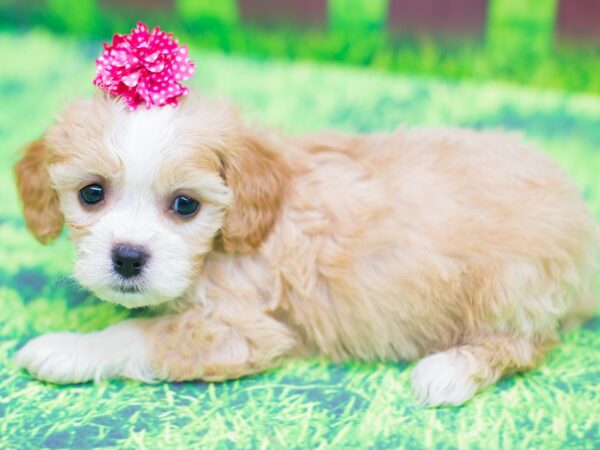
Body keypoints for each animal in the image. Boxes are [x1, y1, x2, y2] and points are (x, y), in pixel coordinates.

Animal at [11, 92, 596, 408]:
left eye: (185, 205)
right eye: (91, 194)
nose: (128, 257)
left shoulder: (244, 329)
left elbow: (141, 333)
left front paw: (65, 348)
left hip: (510, 288)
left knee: (523, 345)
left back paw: (449, 373)